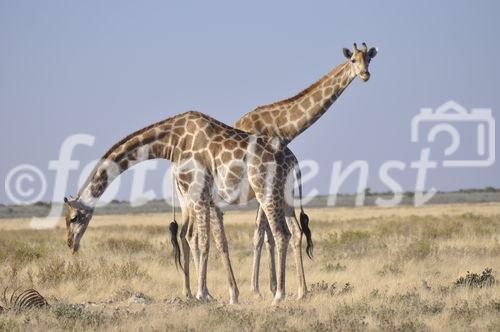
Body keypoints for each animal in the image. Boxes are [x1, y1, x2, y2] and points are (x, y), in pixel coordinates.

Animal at [63, 110, 308, 304]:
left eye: (74, 217)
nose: (70, 244)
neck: (170, 143)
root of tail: (294, 160)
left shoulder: (198, 192)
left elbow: (204, 242)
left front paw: (202, 294)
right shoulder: (201, 197)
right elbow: (206, 241)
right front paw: (222, 294)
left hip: (266, 191)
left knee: (280, 234)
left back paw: (279, 296)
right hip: (285, 196)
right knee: (294, 232)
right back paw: (301, 293)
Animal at [177, 42, 378, 296]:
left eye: (369, 59)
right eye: (353, 60)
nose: (365, 74)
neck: (281, 126)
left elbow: (270, 235)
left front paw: (276, 287)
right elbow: (262, 235)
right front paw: (261, 288)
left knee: (187, 234)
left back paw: (193, 291)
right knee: (191, 236)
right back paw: (199, 291)